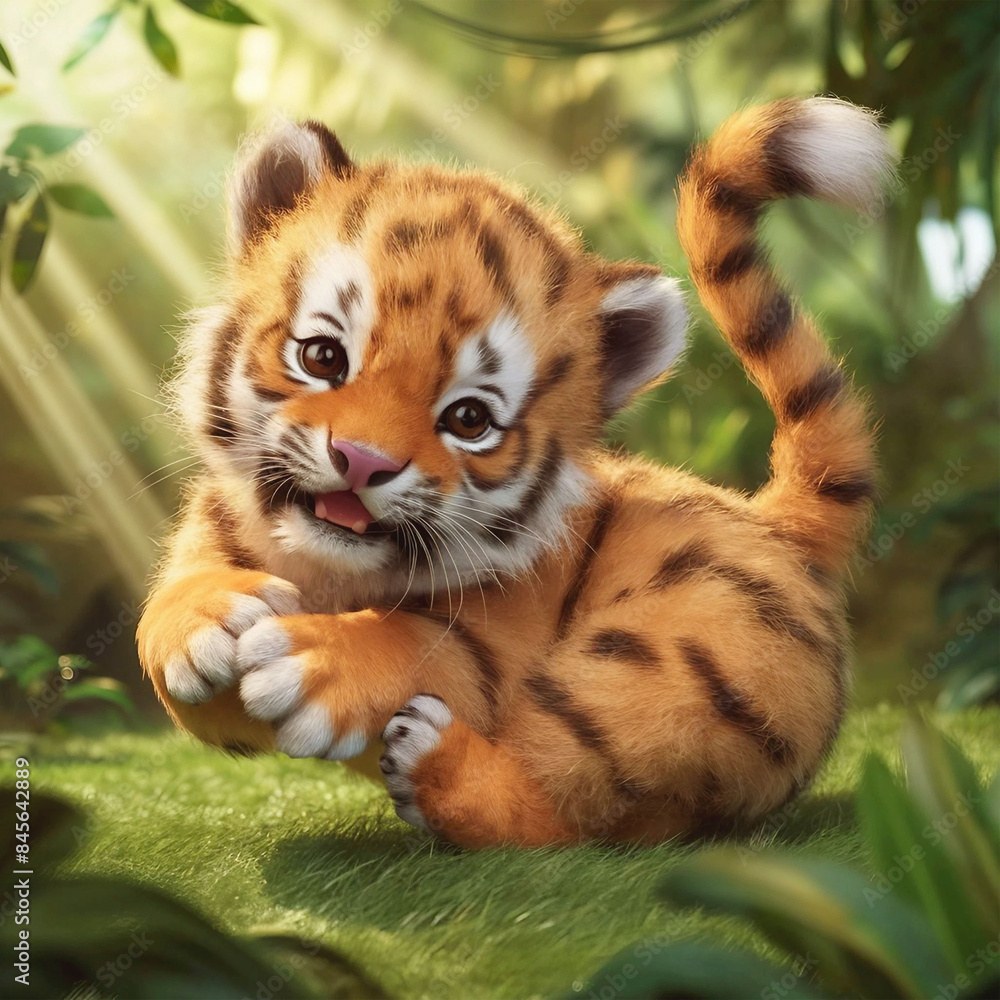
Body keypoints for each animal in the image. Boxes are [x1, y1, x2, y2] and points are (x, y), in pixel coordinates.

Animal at [137, 97, 893, 847]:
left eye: (469, 419)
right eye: (323, 357)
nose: (364, 459)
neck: (330, 571)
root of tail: (780, 522)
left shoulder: (495, 640)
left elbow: (418, 643)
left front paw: (316, 662)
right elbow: (174, 636)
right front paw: (202, 621)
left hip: (678, 657)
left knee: (565, 798)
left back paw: (430, 765)